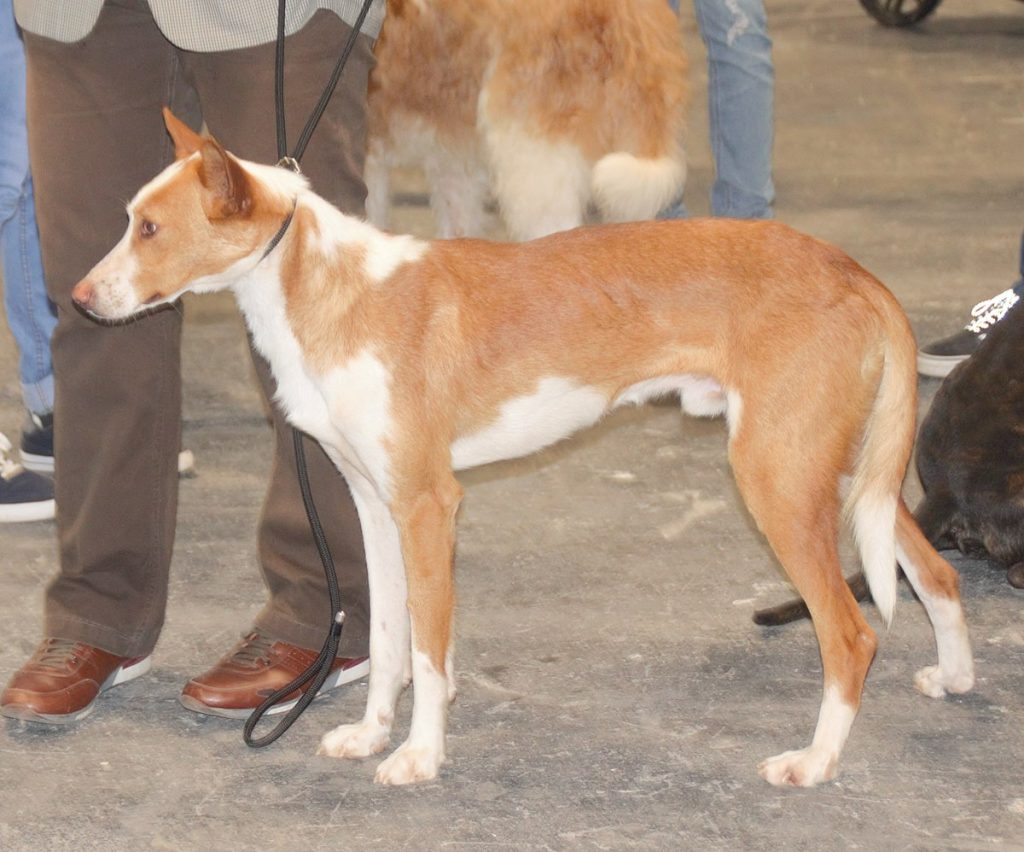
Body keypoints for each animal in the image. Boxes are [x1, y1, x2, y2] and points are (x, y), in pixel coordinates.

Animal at [74, 111, 974, 786]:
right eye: (127, 219)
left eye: (150, 228)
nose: (79, 300)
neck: (328, 289)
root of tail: (852, 270)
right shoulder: (374, 506)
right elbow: (391, 641)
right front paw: (370, 735)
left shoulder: (429, 506)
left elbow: (431, 653)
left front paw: (419, 756)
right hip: (843, 476)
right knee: (935, 570)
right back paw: (957, 675)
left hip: (778, 480)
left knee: (851, 635)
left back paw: (815, 761)